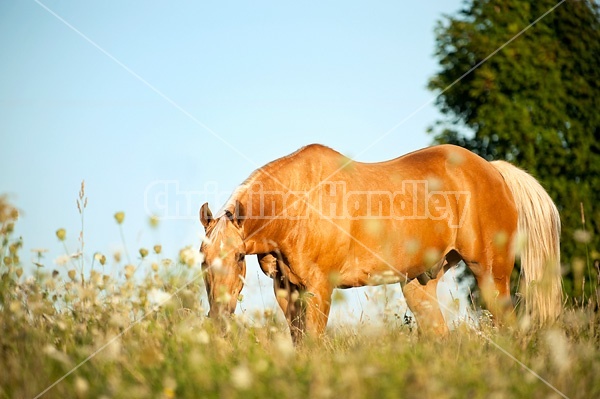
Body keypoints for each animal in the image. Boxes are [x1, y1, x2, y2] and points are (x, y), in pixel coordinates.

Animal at [199, 145, 560, 344]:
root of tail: (494, 172)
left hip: (490, 277)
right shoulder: (286, 289)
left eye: (237, 257)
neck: (298, 202)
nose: (218, 316)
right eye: (202, 259)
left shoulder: (320, 287)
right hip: (419, 284)